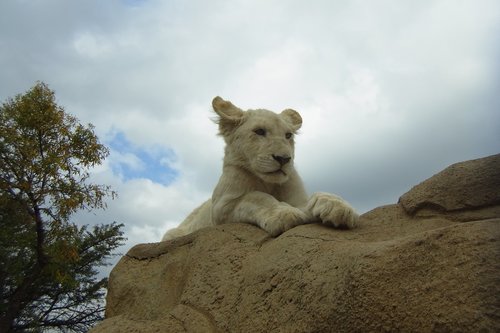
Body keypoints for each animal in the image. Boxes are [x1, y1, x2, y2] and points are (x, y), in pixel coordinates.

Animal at [162, 97, 358, 240]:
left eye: (288, 135)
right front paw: (284, 213)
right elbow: (256, 197)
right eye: (259, 131)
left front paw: (339, 207)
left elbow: (319, 195)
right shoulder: (220, 208)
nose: (283, 159)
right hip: (171, 233)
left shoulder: (298, 199)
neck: (268, 182)